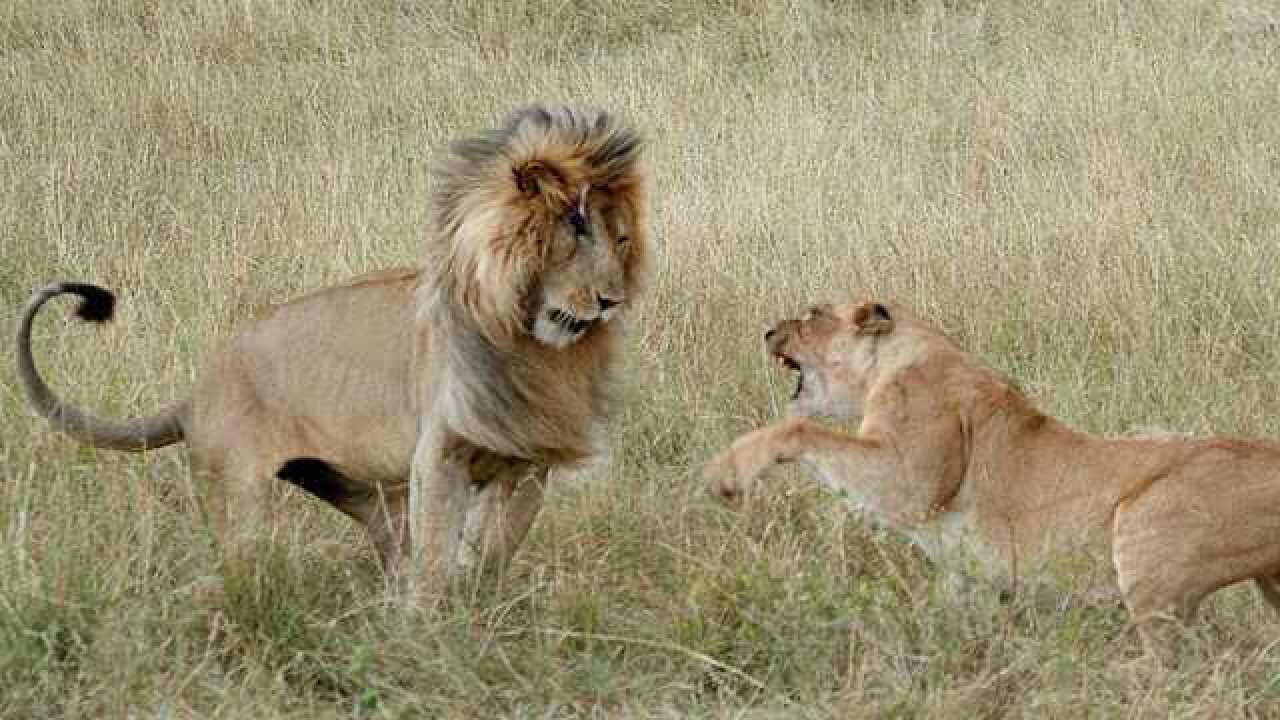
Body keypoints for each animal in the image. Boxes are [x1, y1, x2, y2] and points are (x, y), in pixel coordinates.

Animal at [15, 106, 645, 589]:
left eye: (621, 240)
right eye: (575, 230)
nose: (611, 300)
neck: (529, 345)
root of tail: (196, 395)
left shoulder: (529, 461)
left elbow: (490, 552)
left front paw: (474, 604)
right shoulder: (440, 453)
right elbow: (438, 559)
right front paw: (434, 627)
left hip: (368, 495)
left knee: (394, 550)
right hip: (239, 498)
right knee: (241, 569)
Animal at [706, 297, 1280, 645]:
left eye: (813, 313)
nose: (767, 332)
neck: (905, 355)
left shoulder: (912, 482)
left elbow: (802, 431)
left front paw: (725, 471)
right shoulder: (965, 577)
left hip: (1145, 541)